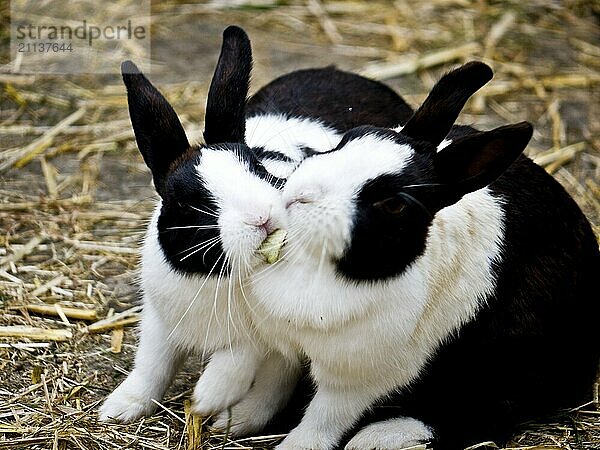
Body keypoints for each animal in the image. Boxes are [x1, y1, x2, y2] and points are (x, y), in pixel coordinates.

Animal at [99, 25, 418, 436]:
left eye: (256, 166)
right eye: (187, 202)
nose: (261, 217)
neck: (220, 278)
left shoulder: (271, 337)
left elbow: (240, 358)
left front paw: (208, 397)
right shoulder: (160, 320)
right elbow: (151, 367)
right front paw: (118, 409)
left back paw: (233, 419)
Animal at [248, 61, 600, 448]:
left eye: (394, 204)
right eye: (349, 138)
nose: (302, 194)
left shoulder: (353, 379)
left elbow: (321, 421)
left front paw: (292, 443)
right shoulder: (281, 348)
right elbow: (268, 389)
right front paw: (233, 419)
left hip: (509, 362)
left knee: (484, 413)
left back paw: (380, 436)